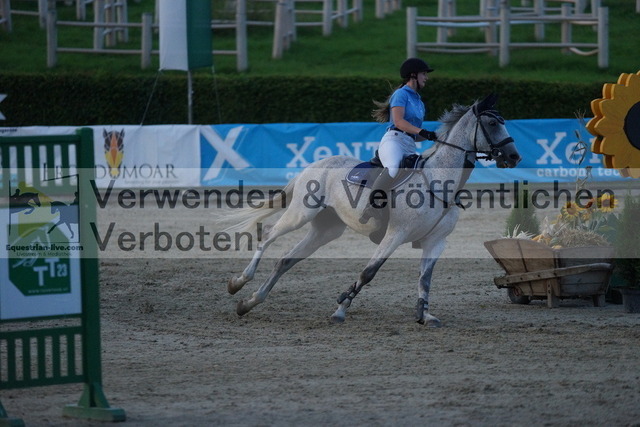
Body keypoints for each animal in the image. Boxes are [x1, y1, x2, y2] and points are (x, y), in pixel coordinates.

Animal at [225, 94, 521, 326]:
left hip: (327, 229)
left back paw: (249, 302)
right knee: (269, 235)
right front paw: (340, 308)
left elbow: (425, 279)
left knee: (286, 260)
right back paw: (238, 282)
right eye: (492, 123)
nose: (515, 157)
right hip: (301, 213)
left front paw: (425, 315)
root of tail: (315, 163)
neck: (438, 181)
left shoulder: (436, 242)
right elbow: (368, 273)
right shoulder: (395, 234)